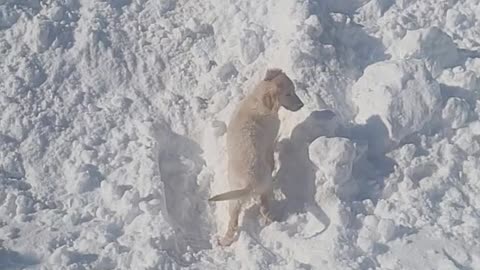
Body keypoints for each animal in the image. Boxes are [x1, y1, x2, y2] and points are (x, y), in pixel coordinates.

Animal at [207, 68, 304, 247]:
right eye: (288, 94)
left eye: (293, 91)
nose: (302, 105)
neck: (257, 101)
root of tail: (249, 183)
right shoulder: (270, 139)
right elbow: (272, 153)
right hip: (264, 189)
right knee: (265, 210)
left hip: (234, 200)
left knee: (233, 223)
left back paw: (224, 241)